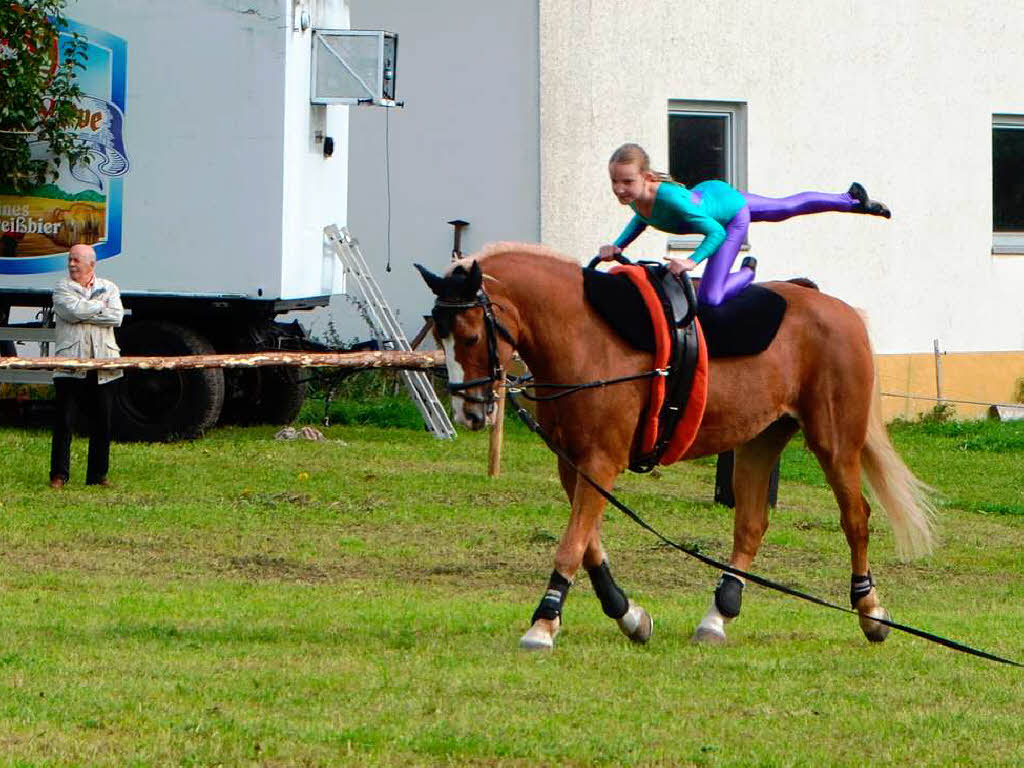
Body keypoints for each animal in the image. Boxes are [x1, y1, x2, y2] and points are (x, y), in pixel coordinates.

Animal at [415, 243, 937, 651]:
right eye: (438, 334)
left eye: (470, 336)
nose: (469, 412)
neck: (586, 337)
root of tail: (840, 310)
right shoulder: (575, 467)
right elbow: (589, 546)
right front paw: (629, 616)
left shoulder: (601, 464)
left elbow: (570, 546)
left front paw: (543, 624)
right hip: (760, 440)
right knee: (751, 525)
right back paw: (718, 615)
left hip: (834, 443)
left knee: (856, 519)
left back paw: (869, 609)